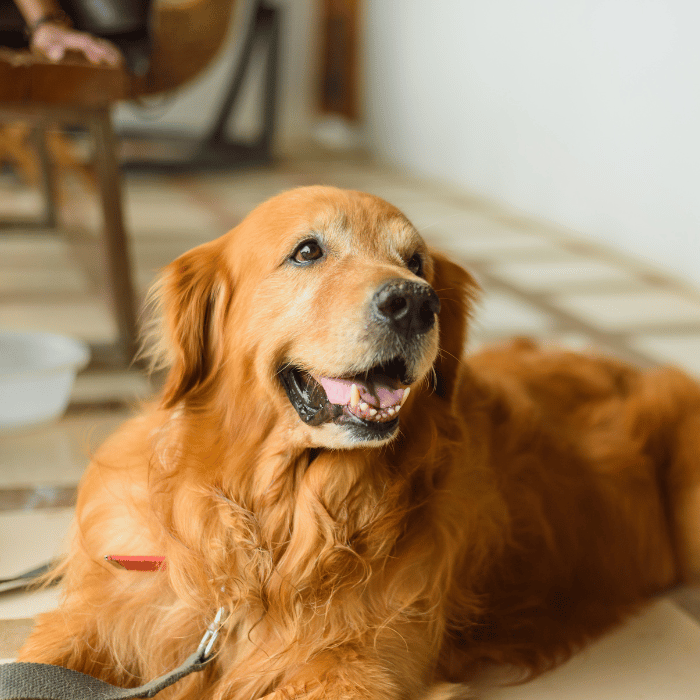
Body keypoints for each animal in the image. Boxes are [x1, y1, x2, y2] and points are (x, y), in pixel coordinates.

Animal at [19, 186, 700, 700]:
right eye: (307, 251)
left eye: (418, 263)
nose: (414, 303)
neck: (281, 526)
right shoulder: (111, 612)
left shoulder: (356, 669)